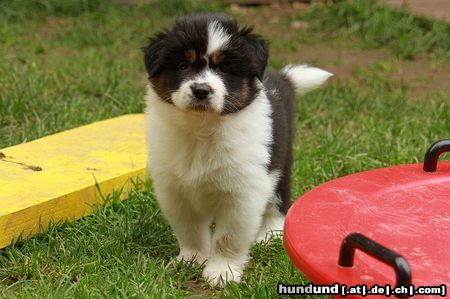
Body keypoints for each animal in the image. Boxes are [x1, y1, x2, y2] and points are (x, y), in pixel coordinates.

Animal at [142, 12, 332, 288]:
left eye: (224, 69)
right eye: (182, 66)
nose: (201, 90)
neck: (202, 129)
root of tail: (281, 80)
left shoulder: (242, 194)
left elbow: (227, 238)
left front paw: (222, 272)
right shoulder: (174, 190)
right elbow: (189, 230)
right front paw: (191, 260)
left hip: (280, 159)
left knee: (279, 198)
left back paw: (271, 233)